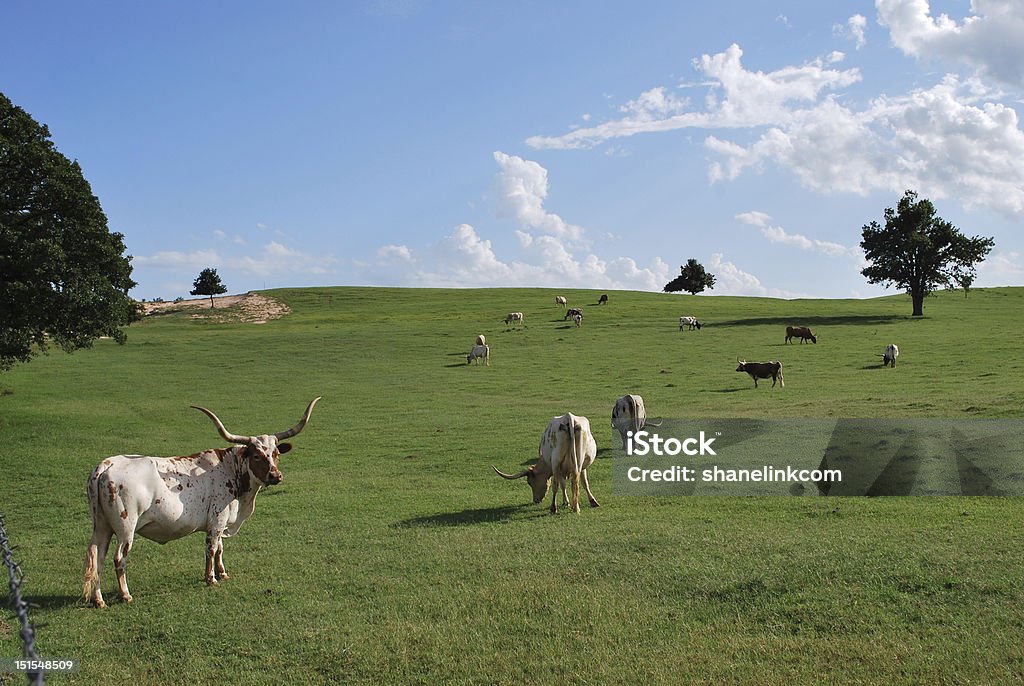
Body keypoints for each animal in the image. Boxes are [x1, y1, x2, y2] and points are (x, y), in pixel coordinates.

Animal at [82, 397, 319, 606]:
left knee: (97, 558)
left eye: (276, 453)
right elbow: (212, 548)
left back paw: (99, 600)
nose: (276, 476)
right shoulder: (217, 519)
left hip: (102, 527)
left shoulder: (220, 521)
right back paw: (125, 595)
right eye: (257, 456)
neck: (230, 469)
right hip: (126, 528)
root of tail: (105, 465)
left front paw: (222, 573)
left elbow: (220, 548)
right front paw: (210, 578)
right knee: (118, 559)